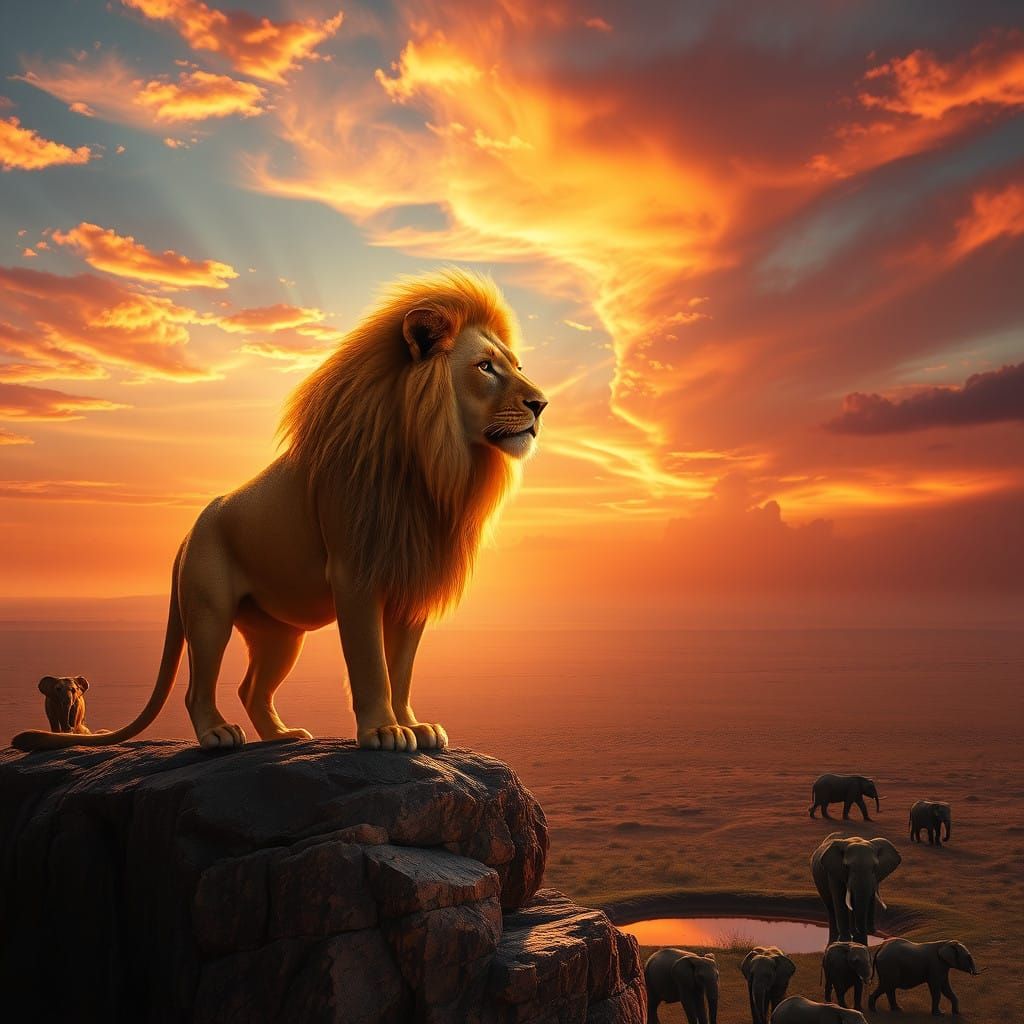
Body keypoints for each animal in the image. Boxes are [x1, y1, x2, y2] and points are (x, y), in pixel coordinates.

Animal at [12, 269, 547, 753]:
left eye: (518, 365)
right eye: (485, 367)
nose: (541, 403)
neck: (432, 462)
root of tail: (188, 533)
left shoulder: (411, 580)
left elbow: (401, 669)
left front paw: (413, 726)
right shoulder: (355, 575)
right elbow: (371, 666)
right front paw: (382, 732)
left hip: (280, 635)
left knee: (252, 688)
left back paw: (282, 737)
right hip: (208, 610)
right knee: (197, 687)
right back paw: (217, 734)